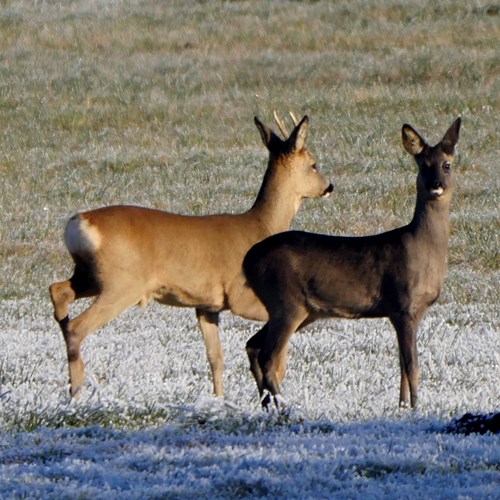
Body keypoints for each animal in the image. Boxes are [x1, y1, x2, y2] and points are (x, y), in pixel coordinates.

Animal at [50, 113, 334, 398]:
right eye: (314, 164)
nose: (329, 186)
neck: (261, 225)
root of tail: (78, 223)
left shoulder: (206, 306)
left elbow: (215, 357)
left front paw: (219, 399)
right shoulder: (242, 297)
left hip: (89, 275)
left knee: (58, 290)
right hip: (121, 283)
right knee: (77, 327)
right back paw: (76, 394)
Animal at [243, 117, 460, 410]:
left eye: (447, 164)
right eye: (423, 164)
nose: (436, 184)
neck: (422, 247)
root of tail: (248, 260)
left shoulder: (410, 311)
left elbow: (402, 366)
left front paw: (403, 407)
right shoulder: (403, 305)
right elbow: (412, 366)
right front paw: (416, 409)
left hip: (299, 309)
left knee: (253, 346)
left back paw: (268, 405)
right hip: (286, 301)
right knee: (268, 355)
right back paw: (284, 407)